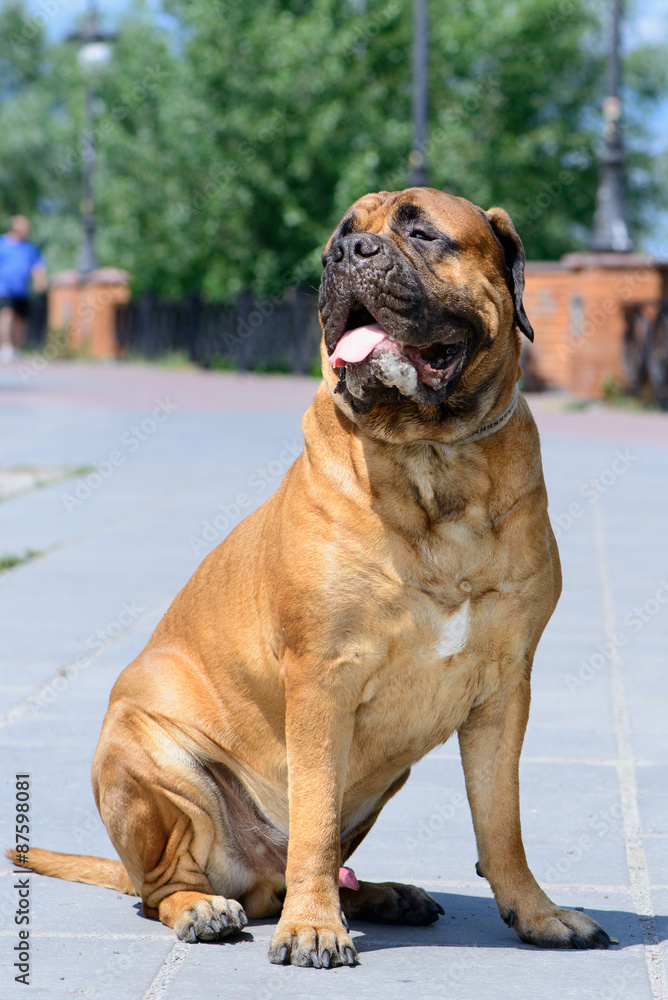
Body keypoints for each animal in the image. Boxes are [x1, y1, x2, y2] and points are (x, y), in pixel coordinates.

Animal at [14, 189, 612, 968]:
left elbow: (501, 822)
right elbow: (316, 817)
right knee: (161, 886)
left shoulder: (505, 688)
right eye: (340, 238)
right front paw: (313, 928)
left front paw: (538, 915)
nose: (346, 256)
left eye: (423, 232)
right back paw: (205, 907)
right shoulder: (323, 679)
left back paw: (382, 894)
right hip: (148, 755)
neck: (430, 455)